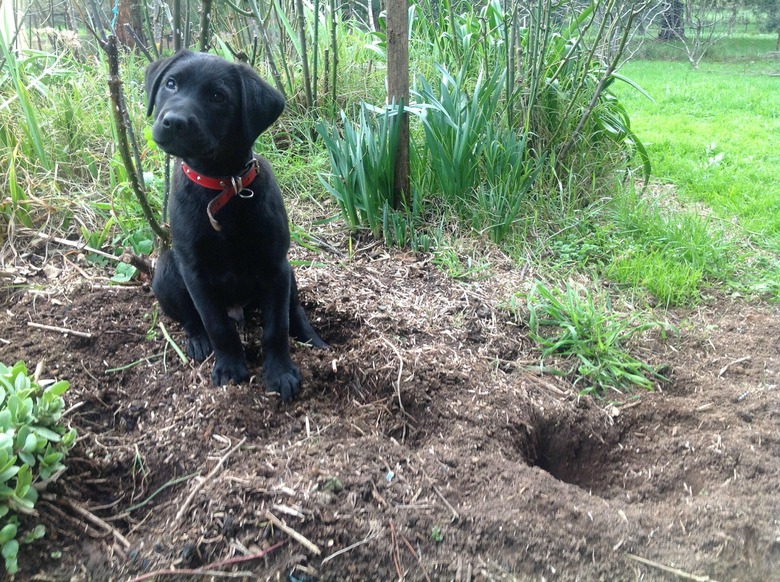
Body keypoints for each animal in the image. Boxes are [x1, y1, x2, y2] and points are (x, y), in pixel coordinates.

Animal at [147, 51, 326, 402]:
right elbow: (216, 325)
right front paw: (230, 369)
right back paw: (197, 342)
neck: (221, 187)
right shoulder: (195, 273)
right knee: (191, 318)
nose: (173, 121)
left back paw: (313, 338)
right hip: (166, 269)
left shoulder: (275, 267)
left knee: (294, 309)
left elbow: (276, 327)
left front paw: (280, 374)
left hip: (287, 271)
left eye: (218, 97)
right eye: (171, 84)